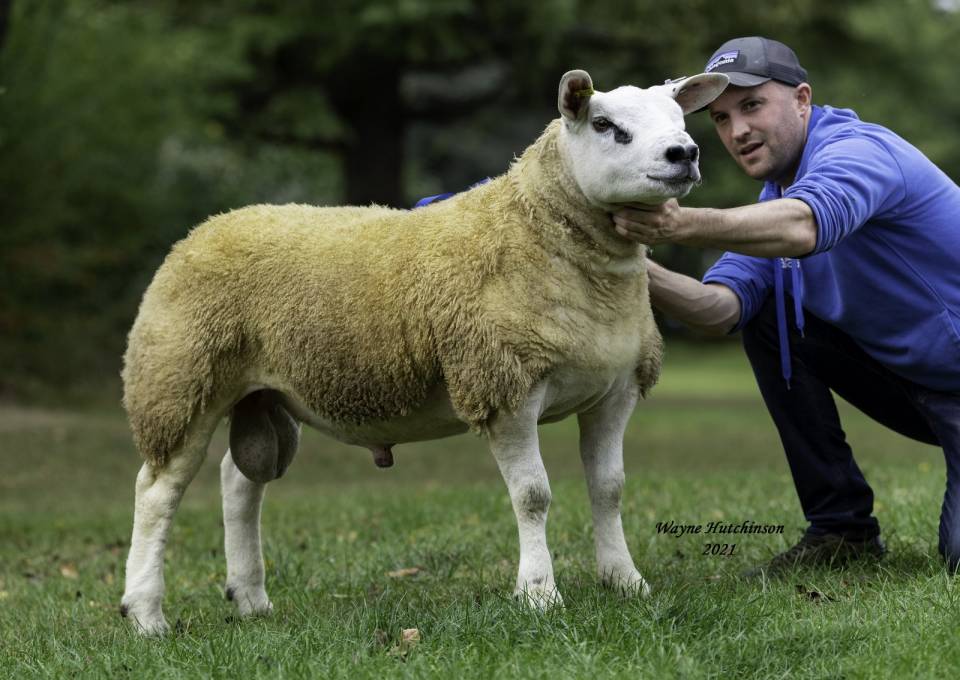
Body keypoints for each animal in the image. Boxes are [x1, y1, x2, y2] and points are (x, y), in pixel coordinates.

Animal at [118, 66, 728, 636]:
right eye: (605, 125)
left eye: (680, 118)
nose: (684, 154)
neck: (535, 232)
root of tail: (206, 228)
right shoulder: (502, 383)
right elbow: (533, 495)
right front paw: (539, 594)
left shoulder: (615, 391)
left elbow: (610, 489)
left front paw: (625, 582)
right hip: (178, 379)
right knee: (157, 492)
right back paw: (146, 614)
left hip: (262, 393)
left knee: (239, 482)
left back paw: (250, 599)